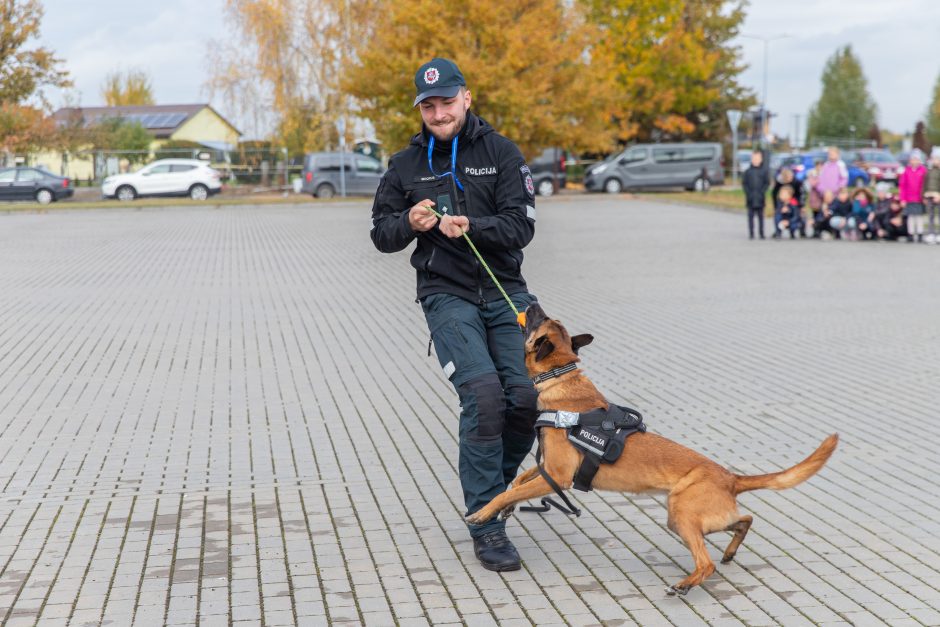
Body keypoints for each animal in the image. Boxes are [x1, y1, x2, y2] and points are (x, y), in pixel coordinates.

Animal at [466, 302, 840, 592]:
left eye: (539, 320)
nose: (530, 303)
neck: (562, 379)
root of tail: (731, 477)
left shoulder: (558, 476)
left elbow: (510, 490)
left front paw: (484, 511)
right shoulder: (551, 471)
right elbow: (519, 480)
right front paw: (506, 507)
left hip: (682, 515)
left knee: (706, 561)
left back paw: (686, 584)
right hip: (694, 517)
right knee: (744, 520)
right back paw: (729, 552)